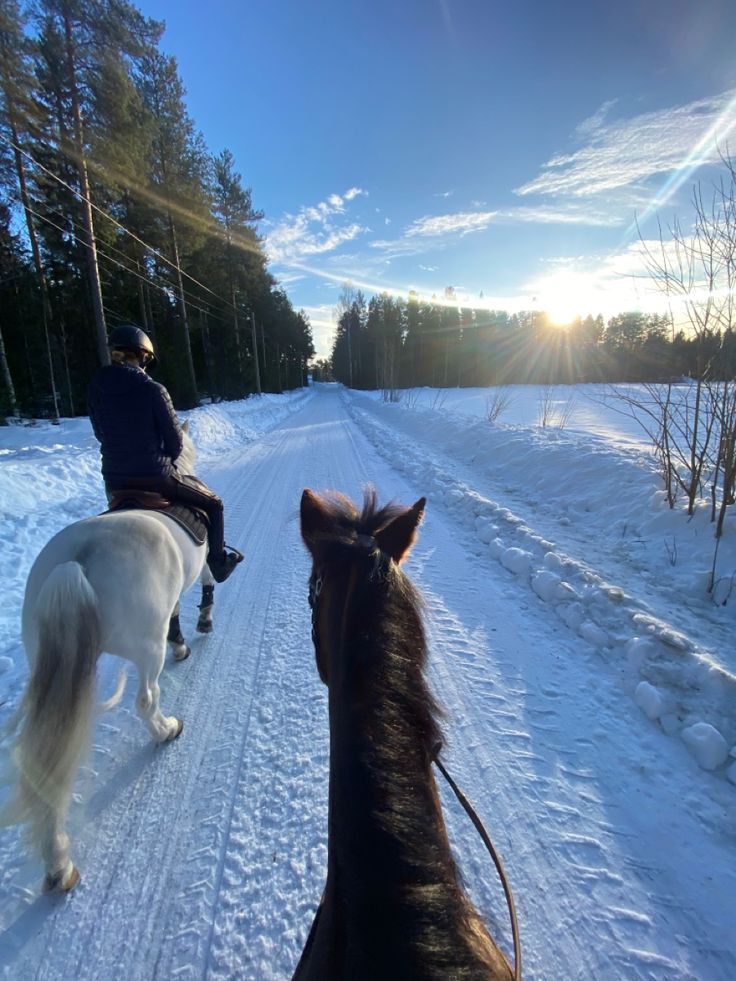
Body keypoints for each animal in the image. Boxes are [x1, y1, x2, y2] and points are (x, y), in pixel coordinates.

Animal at [7, 418, 214, 892]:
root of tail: (77, 561)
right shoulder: (205, 565)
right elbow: (208, 584)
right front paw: (196, 630)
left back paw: (58, 864)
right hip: (145, 649)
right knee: (146, 700)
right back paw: (167, 730)